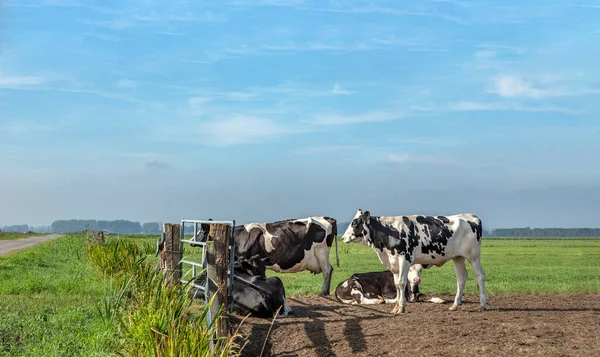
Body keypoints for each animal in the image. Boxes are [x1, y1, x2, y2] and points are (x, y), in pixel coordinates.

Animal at [340, 209, 486, 314]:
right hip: (458, 257)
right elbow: (397, 284)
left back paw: (483, 304)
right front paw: (396, 308)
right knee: (461, 277)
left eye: (354, 223)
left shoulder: (404, 259)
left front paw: (401, 308)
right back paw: (455, 305)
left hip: (473, 256)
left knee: (479, 275)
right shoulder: (394, 264)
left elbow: (401, 283)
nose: (342, 238)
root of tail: (470, 216)